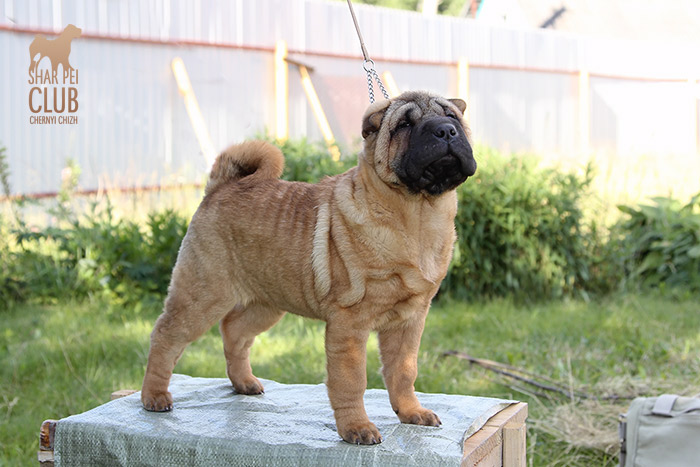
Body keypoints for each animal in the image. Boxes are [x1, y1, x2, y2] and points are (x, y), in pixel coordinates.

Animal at [141, 90, 476, 445]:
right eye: (404, 125)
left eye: (452, 117)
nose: (445, 131)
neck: (417, 214)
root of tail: (219, 188)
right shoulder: (349, 325)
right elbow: (351, 381)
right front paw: (357, 428)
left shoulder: (409, 321)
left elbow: (403, 371)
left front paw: (412, 413)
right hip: (202, 296)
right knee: (165, 337)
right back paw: (154, 396)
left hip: (267, 303)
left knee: (234, 330)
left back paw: (244, 382)